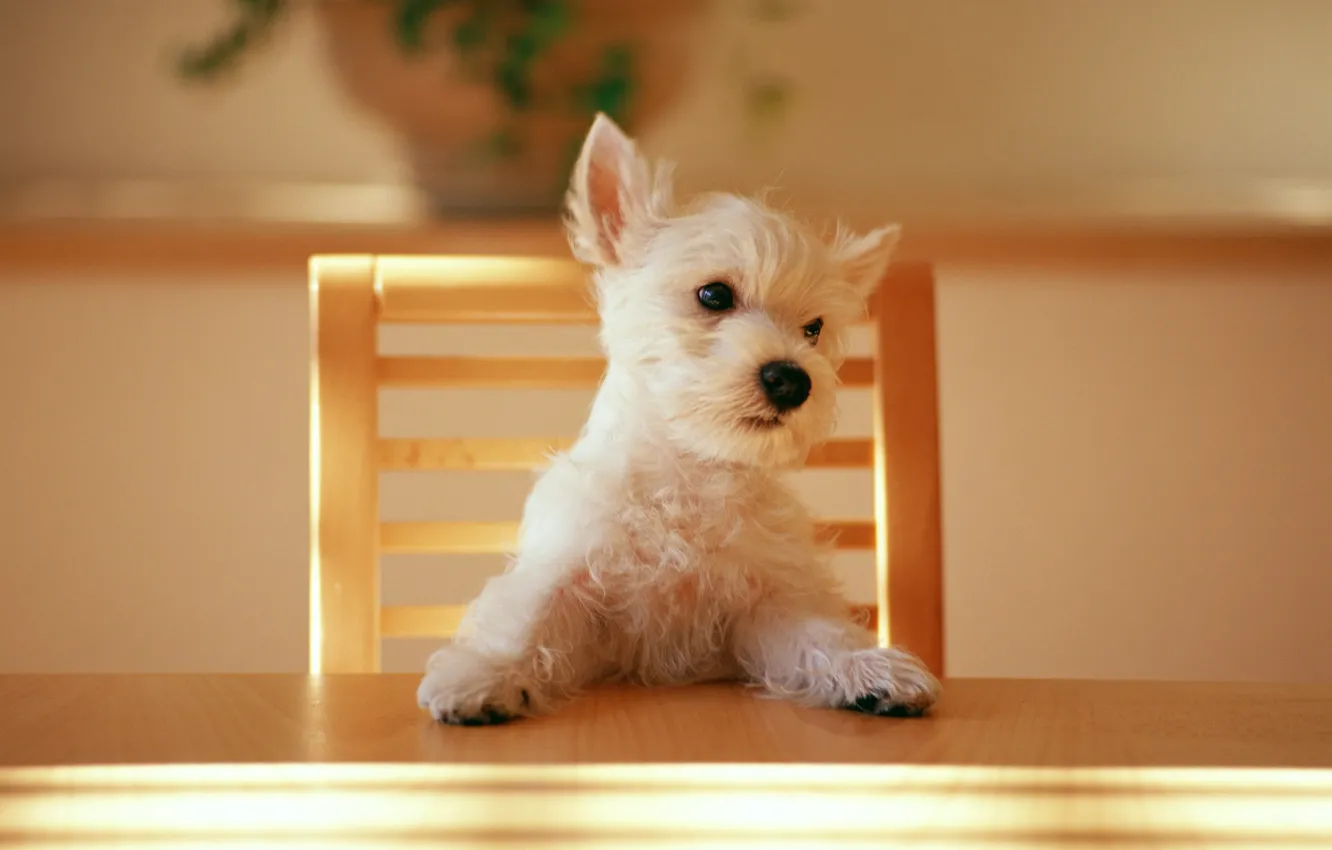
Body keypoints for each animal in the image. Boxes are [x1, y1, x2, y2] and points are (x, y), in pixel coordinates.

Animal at [415, 113, 937, 724]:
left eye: (814, 328)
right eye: (713, 294)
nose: (793, 380)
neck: (690, 473)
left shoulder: (768, 605)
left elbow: (819, 636)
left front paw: (870, 669)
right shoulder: (572, 574)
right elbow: (526, 618)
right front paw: (483, 675)